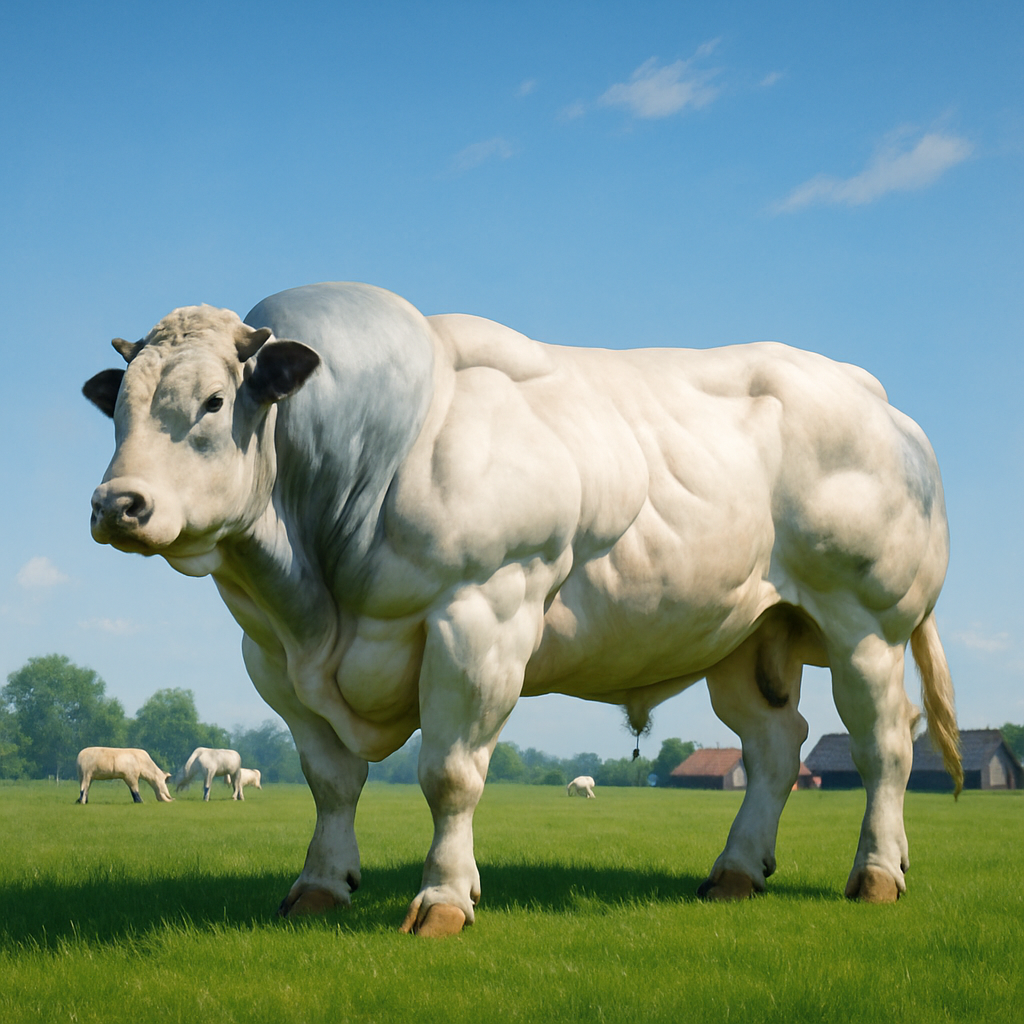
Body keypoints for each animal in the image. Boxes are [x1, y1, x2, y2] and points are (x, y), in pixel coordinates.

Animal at [84, 281, 960, 936]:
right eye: (118, 409)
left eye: (213, 401)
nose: (117, 504)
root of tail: (879, 402)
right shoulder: (272, 657)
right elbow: (331, 780)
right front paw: (321, 886)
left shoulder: (481, 615)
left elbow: (449, 774)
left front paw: (443, 899)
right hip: (745, 637)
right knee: (777, 747)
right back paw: (737, 872)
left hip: (867, 623)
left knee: (884, 744)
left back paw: (876, 873)